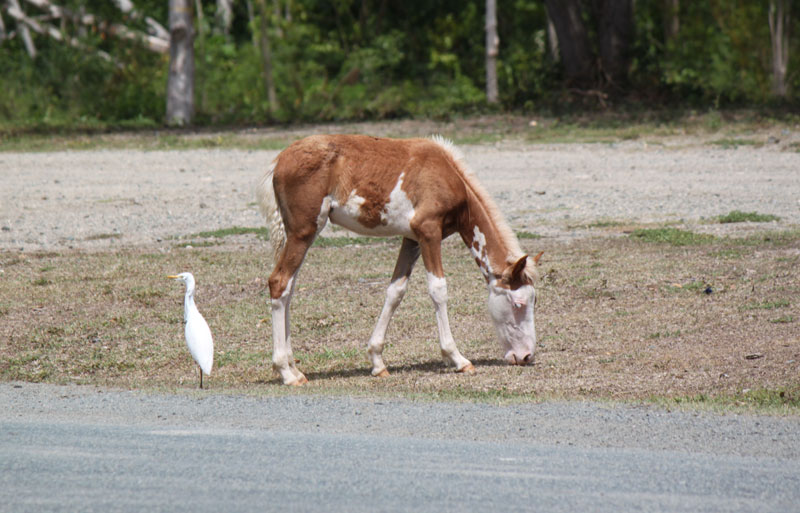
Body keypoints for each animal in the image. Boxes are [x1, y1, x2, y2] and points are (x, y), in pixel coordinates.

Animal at [260, 135, 540, 384]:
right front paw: (458, 359)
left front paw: (377, 362)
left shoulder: (411, 238)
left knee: (289, 288)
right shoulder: (429, 232)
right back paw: (285, 372)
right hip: (303, 231)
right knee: (279, 282)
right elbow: (438, 289)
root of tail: (279, 160)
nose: (526, 356)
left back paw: (295, 370)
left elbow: (396, 291)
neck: (448, 175)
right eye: (518, 303)